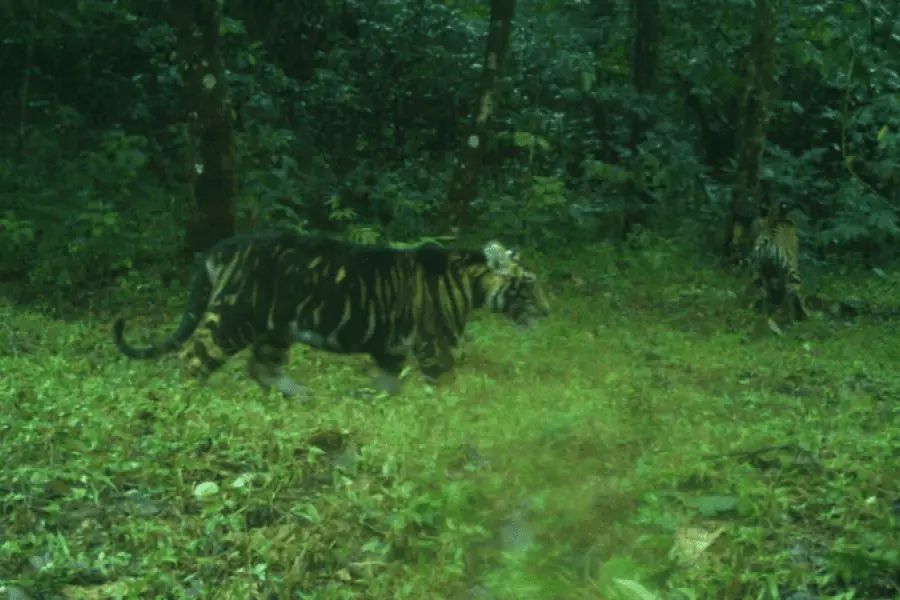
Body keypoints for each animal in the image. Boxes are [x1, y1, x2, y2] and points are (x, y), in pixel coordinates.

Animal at [112, 231, 550, 398]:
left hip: (275, 330)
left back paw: (301, 395)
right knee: (192, 357)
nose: (548, 311)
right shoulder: (435, 343)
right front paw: (453, 409)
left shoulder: (391, 345)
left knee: (262, 368)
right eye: (528, 285)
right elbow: (444, 382)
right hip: (233, 319)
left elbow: (389, 380)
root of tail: (224, 245)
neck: (472, 282)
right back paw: (195, 398)